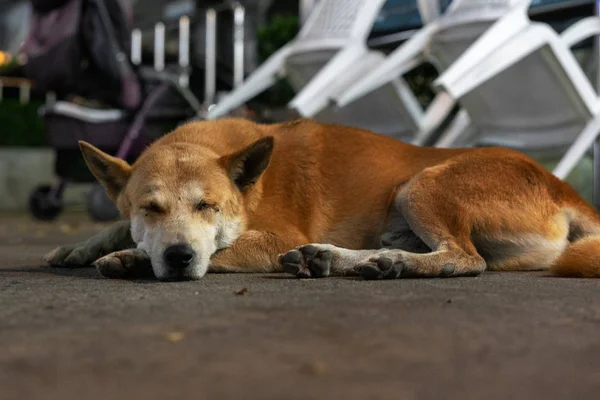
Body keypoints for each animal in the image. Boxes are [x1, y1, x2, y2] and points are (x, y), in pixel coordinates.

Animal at [44, 119, 600, 280]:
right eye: (150, 209)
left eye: (209, 207)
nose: (178, 257)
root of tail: (564, 186)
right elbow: (117, 225)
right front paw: (82, 247)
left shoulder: (272, 237)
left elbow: (226, 248)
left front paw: (135, 258)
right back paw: (342, 259)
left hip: (421, 183)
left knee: (468, 258)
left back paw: (393, 263)